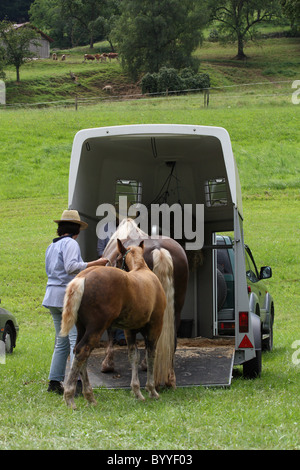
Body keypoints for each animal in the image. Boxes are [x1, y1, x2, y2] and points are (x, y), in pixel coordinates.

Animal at [60, 239, 166, 408]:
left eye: (117, 259)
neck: (142, 270)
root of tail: (83, 277)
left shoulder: (130, 331)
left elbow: (133, 356)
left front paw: (137, 391)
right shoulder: (155, 327)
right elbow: (151, 355)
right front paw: (151, 390)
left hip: (83, 328)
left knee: (78, 352)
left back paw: (89, 396)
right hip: (96, 329)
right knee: (83, 351)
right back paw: (70, 396)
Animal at [102, 218, 189, 388]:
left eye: (117, 261)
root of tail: (159, 249)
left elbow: (111, 332)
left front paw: (108, 364)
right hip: (176, 308)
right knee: (171, 339)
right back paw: (169, 377)